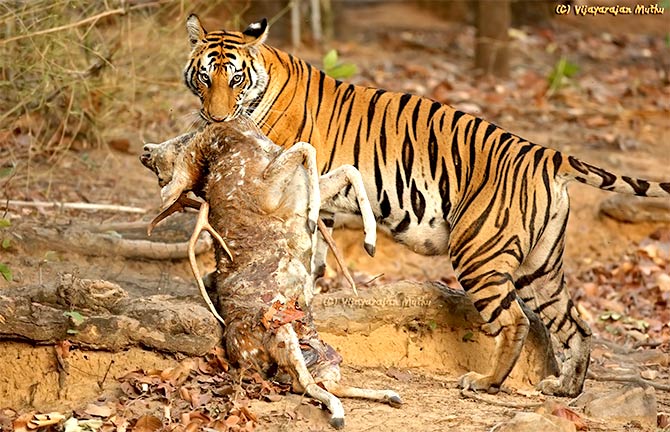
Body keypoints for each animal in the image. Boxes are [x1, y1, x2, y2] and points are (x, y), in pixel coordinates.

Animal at [141, 118, 402, 428]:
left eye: (179, 140)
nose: (145, 151)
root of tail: (246, 359)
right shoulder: (266, 191)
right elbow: (307, 147)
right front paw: (313, 217)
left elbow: (347, 168)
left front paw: (368, 241)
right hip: (280, 330)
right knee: (304, 384)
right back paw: (340, 414)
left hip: (321, 356)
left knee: (322, 382)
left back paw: (391, 395)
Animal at [182, 14, 670, 398]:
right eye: (205, 77)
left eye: (235, 78)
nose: (216, 118)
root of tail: (544, 154)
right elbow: (312, 252)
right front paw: (311, 289)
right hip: (541, 266)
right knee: (577, 324)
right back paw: (566, 387)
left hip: (479, 251)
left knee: (516, 321)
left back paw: (486, 383)